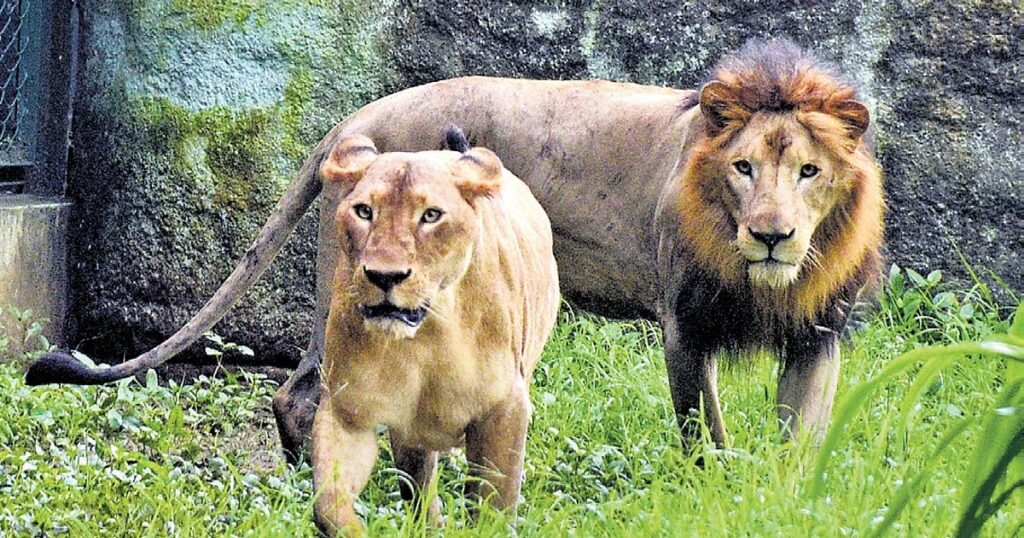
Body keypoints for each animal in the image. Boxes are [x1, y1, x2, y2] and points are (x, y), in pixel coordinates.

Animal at [27, 39, 883, 460]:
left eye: (808, 171)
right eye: (744, 169)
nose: (772, 233)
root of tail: (353, 120)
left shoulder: (818, 334)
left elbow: (802, 436)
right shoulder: (684, 323)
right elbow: (701, 429)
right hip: (362, 291)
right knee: (299, 394)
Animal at [311, 130, 558, 534]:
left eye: (430, 216)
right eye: (364, 211)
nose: (384, 276)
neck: (426, 340)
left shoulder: (504, 408)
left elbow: (494, 507)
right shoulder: (348, 412)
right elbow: (329, 503)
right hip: (410, 437)